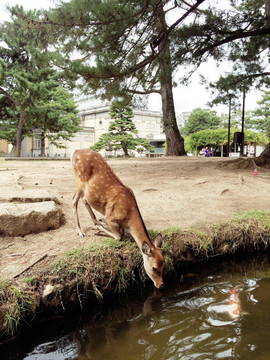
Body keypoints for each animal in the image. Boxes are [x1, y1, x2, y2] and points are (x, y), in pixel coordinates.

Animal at [72, 149, 165, 290]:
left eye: (163, 264)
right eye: (154, 268)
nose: (161, 285)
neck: (129, 215)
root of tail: (75, 152)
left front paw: (99, 224)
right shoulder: (111, 217)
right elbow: (119, 236)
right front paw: (98, 229)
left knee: (84, 199)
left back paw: (96, 221)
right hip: (79, 181)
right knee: (74, 200)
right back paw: (81, 231)